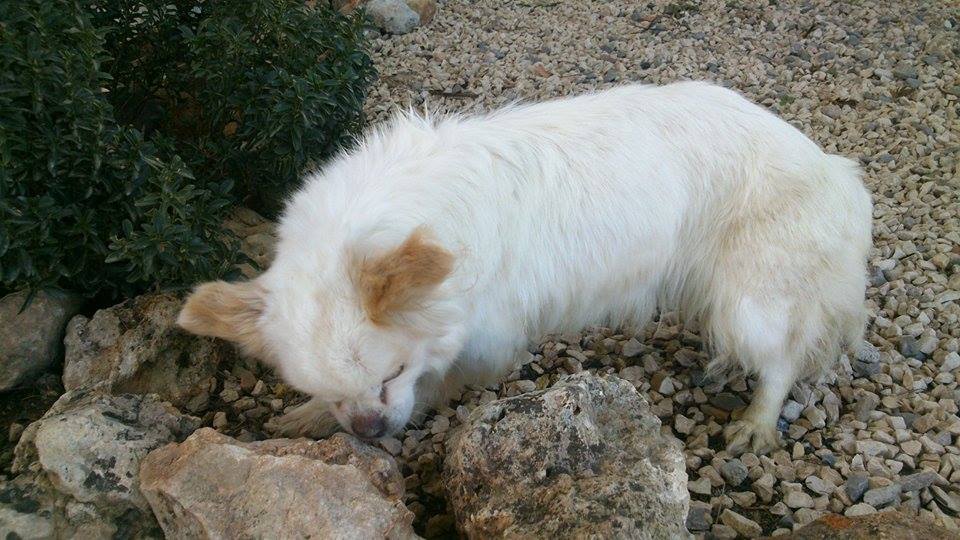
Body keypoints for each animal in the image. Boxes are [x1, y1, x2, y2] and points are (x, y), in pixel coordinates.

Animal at [176, 82, 872, 454]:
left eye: (392, 374)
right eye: (327, 388)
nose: (371, 431)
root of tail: (834, 169)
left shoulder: (483, 338)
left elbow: (439, 379)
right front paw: (313, 418)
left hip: (750, 303)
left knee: (782, 358)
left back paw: (757, 421)